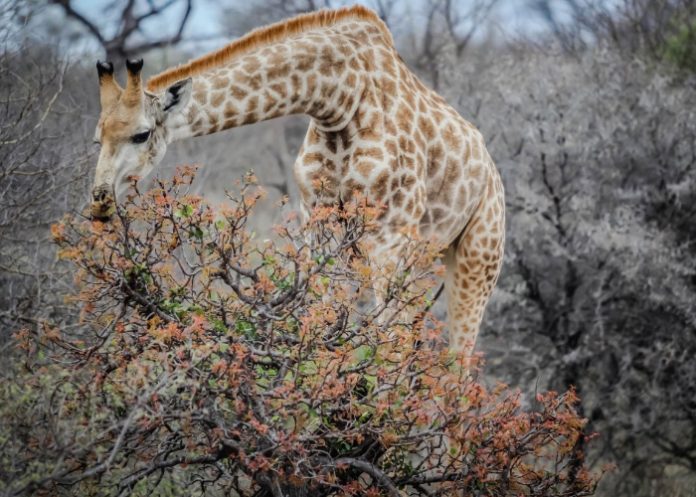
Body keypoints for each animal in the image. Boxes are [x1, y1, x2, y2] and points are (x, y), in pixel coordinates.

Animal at [90, 5, 505, 359]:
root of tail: (491, 168)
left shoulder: (389, 233)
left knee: (458, 358)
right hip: (426, 255)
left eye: (141, 134)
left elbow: (388, 342)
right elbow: (320, 320)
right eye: (97, 138)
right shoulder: (316, 220)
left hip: (478, 255)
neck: (339, 100)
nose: (99, 201)